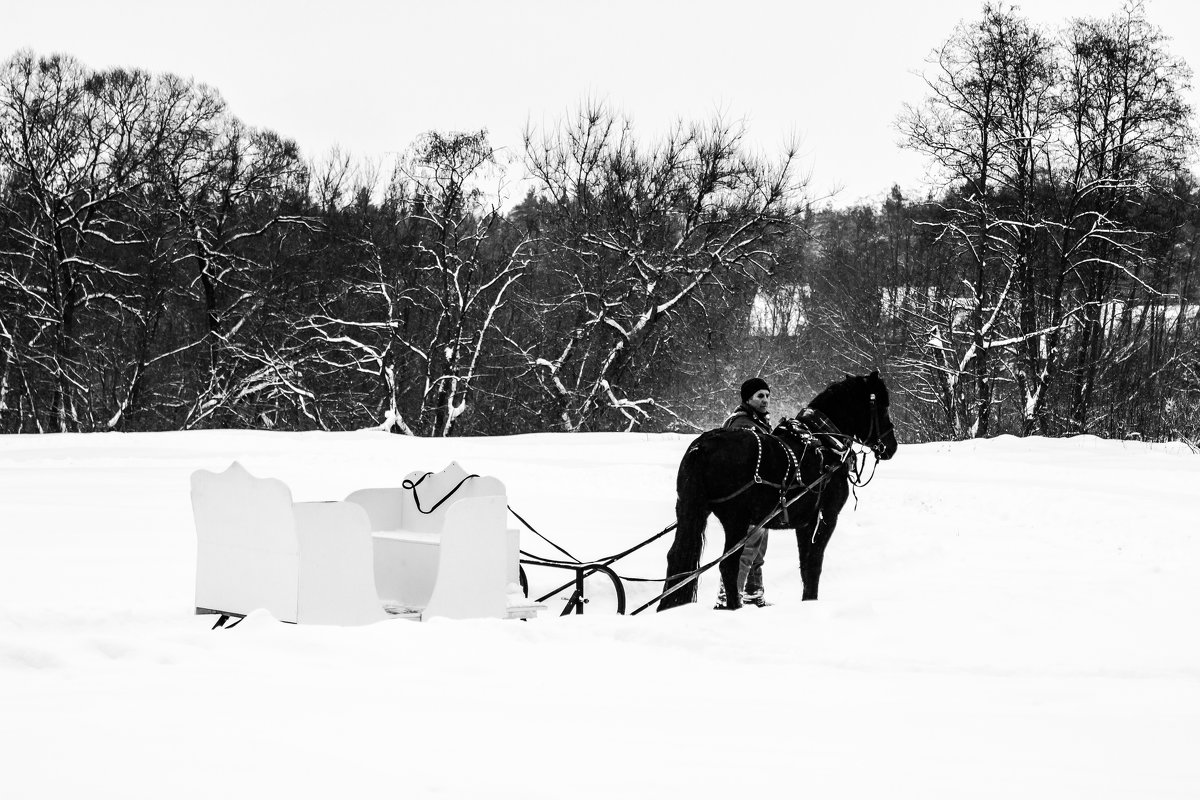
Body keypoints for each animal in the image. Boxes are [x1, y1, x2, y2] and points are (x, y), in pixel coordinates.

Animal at [657, 371, 902, 614]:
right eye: (883, 406)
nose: (891, 446)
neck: (824, 442)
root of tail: (703, 446)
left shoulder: (805, 523)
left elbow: (805, 565)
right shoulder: (827, 516)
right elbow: (814, 563)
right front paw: (811, 603)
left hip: (692, 511)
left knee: (676, 557)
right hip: (736, 521)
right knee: (729, 565)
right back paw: (735, 608)